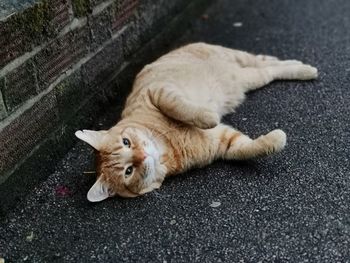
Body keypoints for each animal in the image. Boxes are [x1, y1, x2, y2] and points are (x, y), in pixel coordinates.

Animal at [76, 43, 318, 202]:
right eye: (128, 171)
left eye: (126, 142)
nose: (143, 156)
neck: (168, 145)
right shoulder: (225, 143)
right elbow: (250, 148)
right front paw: (275, 139)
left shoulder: (158, 92)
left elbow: (181, 108)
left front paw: (208, 115)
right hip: (250, 78)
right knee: (269, 69)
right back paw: (303, 68)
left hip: (240, 60)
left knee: (267, 62)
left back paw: (305, 68)